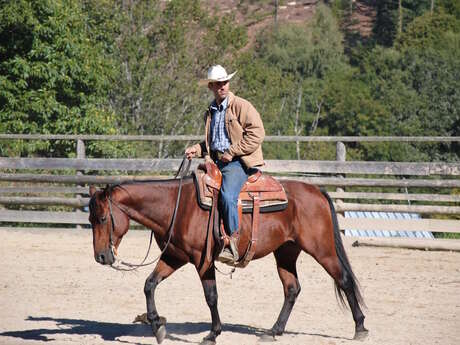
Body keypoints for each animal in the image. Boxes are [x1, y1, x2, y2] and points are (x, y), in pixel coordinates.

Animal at [88, 173, 368, 342]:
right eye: (90, 219)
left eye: (102, 218)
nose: (101, 257)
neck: (176, 207)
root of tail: (317, 191)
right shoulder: (174, 256)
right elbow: (149, 284)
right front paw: (157, 326)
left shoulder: (202, 261)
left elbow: (211, 296)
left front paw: (213, 334)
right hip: (286, 252)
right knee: (292, 289)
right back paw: (273, 331)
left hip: (322, 249)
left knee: (343, 279)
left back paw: (360, 328)